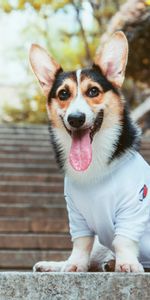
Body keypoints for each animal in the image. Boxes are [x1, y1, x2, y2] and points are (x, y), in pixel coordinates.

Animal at [29, 31, 150, 274]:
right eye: (63, 94)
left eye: (93, 91)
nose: (76, 119)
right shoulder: (76, 215)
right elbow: (81, 243)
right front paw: (74, 265)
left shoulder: (134, 207)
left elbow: (124, 239)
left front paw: (128, 264)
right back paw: (55, 265)